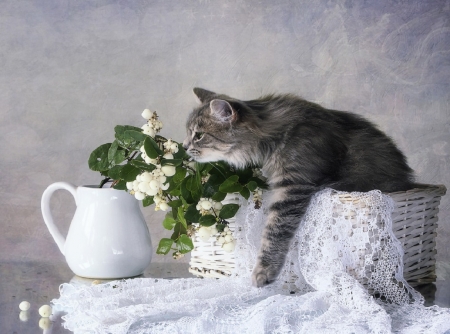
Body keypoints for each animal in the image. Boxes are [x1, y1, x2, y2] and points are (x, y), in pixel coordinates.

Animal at [182, 87, 412, 288]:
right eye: (189, 133)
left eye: (199, 135)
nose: (184, 146)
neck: (272, 134)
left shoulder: (293, 185)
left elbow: (274, 231)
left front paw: (263, 271)